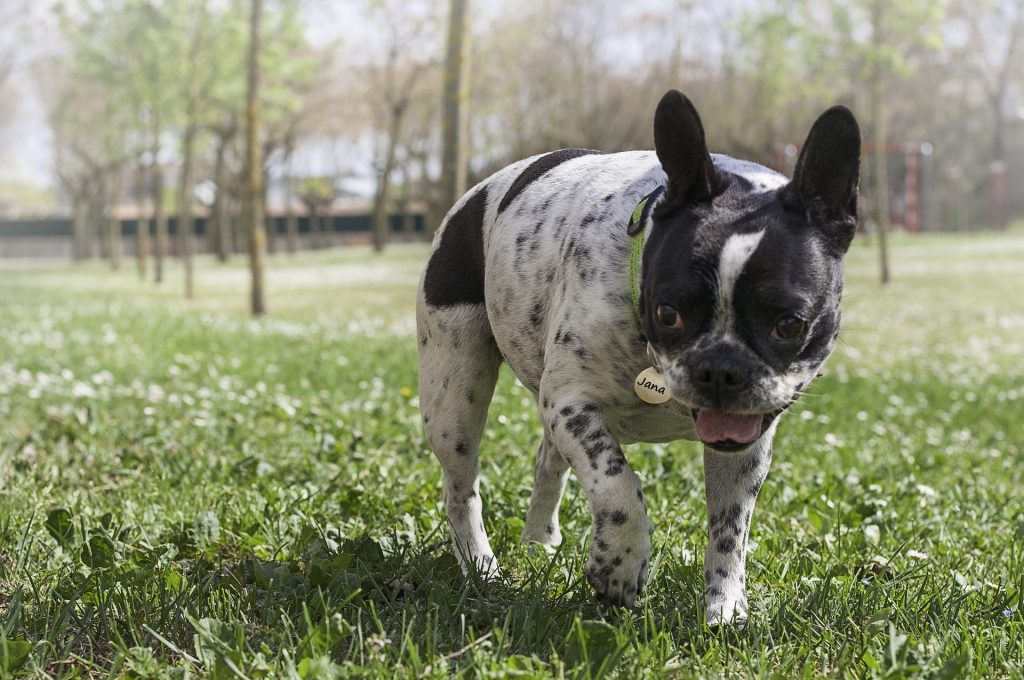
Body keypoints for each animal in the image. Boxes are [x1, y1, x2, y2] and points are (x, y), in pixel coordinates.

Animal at [411, 91, 860, 626]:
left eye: (789, 325)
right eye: (668, 313)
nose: (721, 368)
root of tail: (475, 195)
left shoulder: (744, 449)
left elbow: (730, 527)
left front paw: (725, 607)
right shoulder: (572, 404)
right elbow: (618, 486)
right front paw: (620, 567)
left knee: (547, 461)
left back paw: (539, 541)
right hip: (454, 395)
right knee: (461, 490)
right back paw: (483, 568)